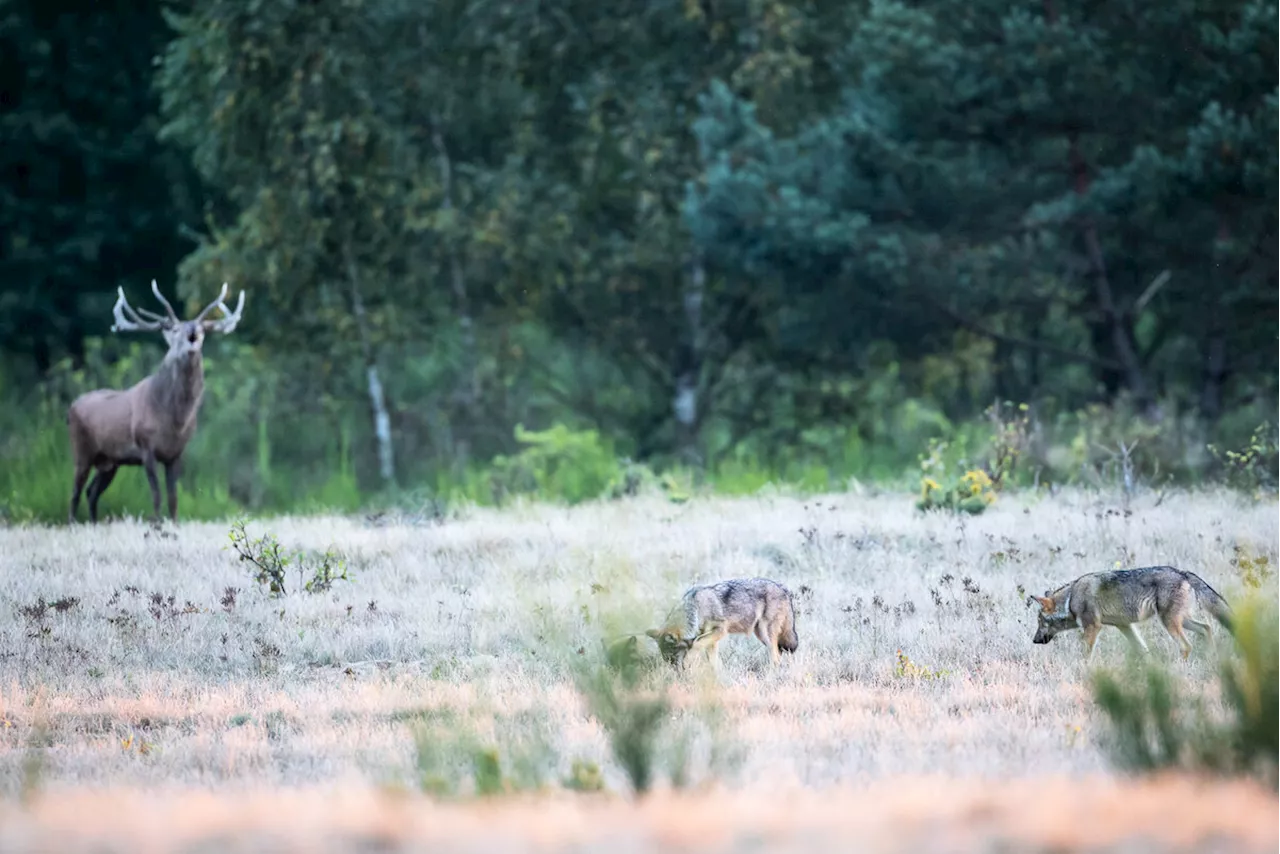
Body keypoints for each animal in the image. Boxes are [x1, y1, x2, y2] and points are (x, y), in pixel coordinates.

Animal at [650, 578, 798, 670]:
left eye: (673, 656)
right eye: (666, 658)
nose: (676, 672)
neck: (696, 609)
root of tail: (784, 589)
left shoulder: (720, 630)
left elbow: (696, 644)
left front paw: (688, 661)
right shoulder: (712, 639)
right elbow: (713, 660)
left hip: (765, 634)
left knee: (776, 657)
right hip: (761, 635)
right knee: (778, 654)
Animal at [1034, 563, 1233, 665]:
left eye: (1040, 621)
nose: (1034, 640)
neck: (1071, 597)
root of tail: (1183, 572)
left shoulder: (1093, 627)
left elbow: (1085, 654)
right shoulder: (1125, 626)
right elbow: (1143, 649)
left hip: (1169, 622)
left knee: (1186, 646)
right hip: (1181, 621)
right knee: (1206, 628)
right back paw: (1213, 659)